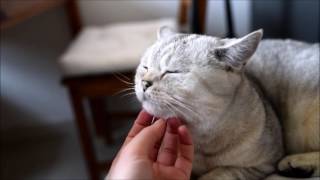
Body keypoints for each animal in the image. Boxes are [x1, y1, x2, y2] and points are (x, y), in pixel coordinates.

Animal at [134, 27, 318, 180]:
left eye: (173, 72)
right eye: (145, 67)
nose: (144, 83)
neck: (202, 140)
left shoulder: (263, 164)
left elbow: (221, 172)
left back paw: (297, 163)